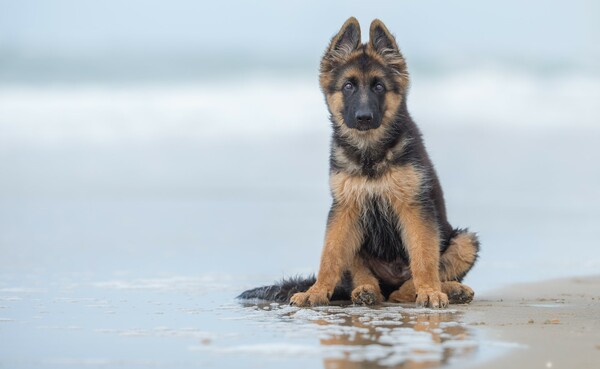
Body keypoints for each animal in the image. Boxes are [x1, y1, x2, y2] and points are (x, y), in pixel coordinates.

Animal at [238, 18, 478, 310]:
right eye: (348, 86)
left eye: (379, 87)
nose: (364, 117)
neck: (369, 153)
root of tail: (390, 281)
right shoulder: (344, 209)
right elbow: (329, 255)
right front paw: (316, 292)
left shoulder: (414, 207)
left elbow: (423, 256)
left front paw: (430, 291)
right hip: (356, 237)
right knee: (368, 280)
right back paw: (366, 291)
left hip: (465, 241)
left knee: (409, 285)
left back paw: (446, 289)